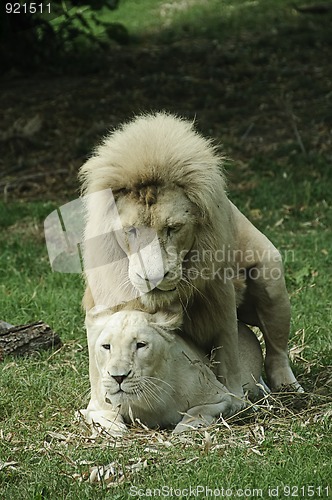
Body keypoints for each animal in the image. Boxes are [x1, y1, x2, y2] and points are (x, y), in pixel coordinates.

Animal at [79, 112, 302, 418]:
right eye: (131, 230)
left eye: (173, 228)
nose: (153, 277)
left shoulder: (220, 301)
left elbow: (228, 352)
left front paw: (235, 400)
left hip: (270, 280)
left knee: (277, 348)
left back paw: (287, 388)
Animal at [79, 306, 266, 436]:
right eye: (106, 346)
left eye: (140, 345)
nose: (118, 377)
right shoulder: (95, 407)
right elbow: (106, 416)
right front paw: (115, 431)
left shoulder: (223, 397)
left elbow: (197, 411)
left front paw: (183, 430)